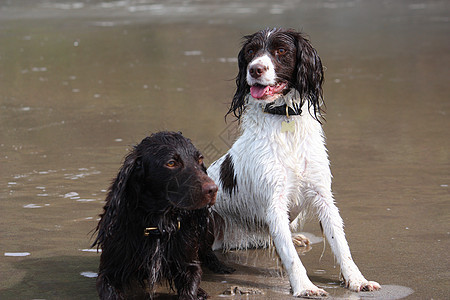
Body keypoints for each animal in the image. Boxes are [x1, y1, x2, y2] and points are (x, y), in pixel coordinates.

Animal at [207, 28, 380, 298]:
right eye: (251, 52)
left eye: (281, 50)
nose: (254, 69)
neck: (284, 117)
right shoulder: (274, 201)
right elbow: (289, 255)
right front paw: (305, 286)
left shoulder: (322, 195)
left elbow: (341, 245)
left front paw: (357, 280)